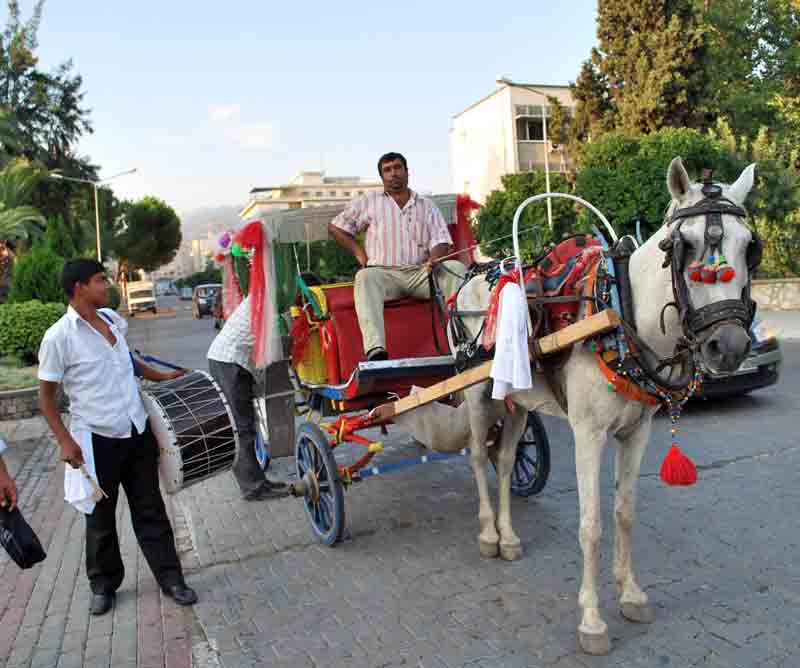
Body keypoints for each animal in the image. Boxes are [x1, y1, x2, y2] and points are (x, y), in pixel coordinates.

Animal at [438, 159, 756, 656]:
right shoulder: (587, 434)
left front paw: (631, 594)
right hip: (475, 391)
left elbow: (624, 512)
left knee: (505, 462)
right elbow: (591, 524)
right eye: (683, 246)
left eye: (749, 246)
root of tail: (475, 273)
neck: (619, 309)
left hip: (516, 400)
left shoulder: (637, 431)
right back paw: (489, 533)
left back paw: (509, 537)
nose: (728, 346)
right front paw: (591, 619)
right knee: (475, 456)